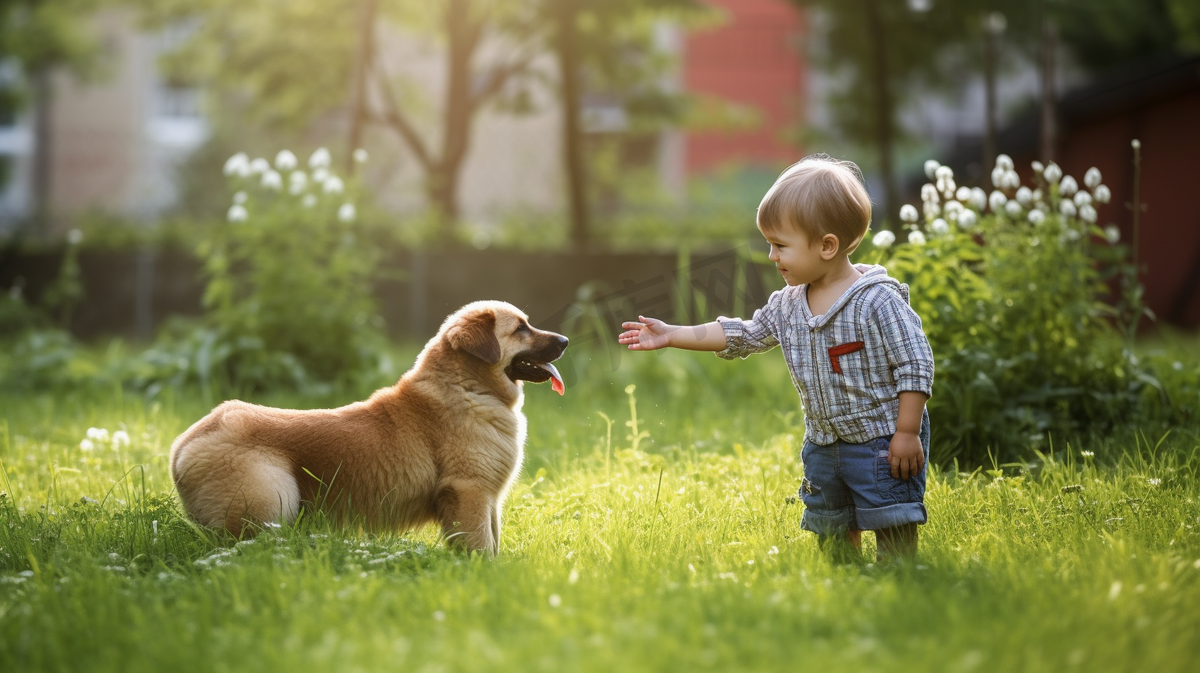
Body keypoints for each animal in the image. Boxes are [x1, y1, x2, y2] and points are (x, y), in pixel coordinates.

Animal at [166, 299, 568, 551]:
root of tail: (183, 445)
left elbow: (494, 543)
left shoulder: (488, 500)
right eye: (521, 329)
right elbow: (481, 548)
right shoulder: (469, 492)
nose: (565, 340)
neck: (466, 387)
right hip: (273, 501)